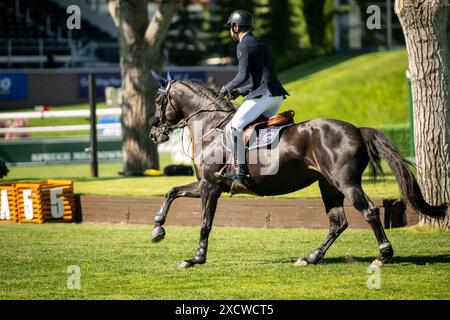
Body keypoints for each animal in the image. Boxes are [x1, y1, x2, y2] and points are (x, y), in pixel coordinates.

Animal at [149, 74, 446, 268]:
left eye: (159, 100)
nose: (153, 132)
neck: (211, 125)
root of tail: (356, 130)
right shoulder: (204, 184)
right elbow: (171, 191)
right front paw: (157, 229)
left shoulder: (211, 186)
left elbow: (205, 223)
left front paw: (196, 258)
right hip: (328, 186)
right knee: (338, 222)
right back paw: (310, 258)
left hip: (346, 183)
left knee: (369, 212)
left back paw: (382, 255)